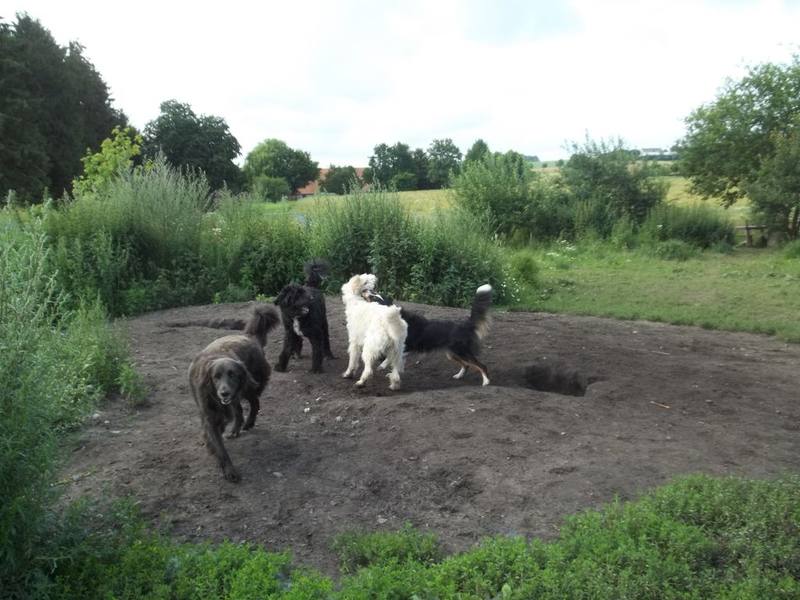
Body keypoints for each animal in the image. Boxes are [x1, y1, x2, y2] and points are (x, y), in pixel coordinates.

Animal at [188, 304, 279, 482]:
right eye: (216, 376)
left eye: (232, 374)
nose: (224, 393)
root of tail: (250, 337)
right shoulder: (209, 416)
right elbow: (218, 445)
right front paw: (227, 467)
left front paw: (229, 470)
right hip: (237, 396)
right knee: (239, 411)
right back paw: (236, 429)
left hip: (246, 388)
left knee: (254, 403)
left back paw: (248, 423)